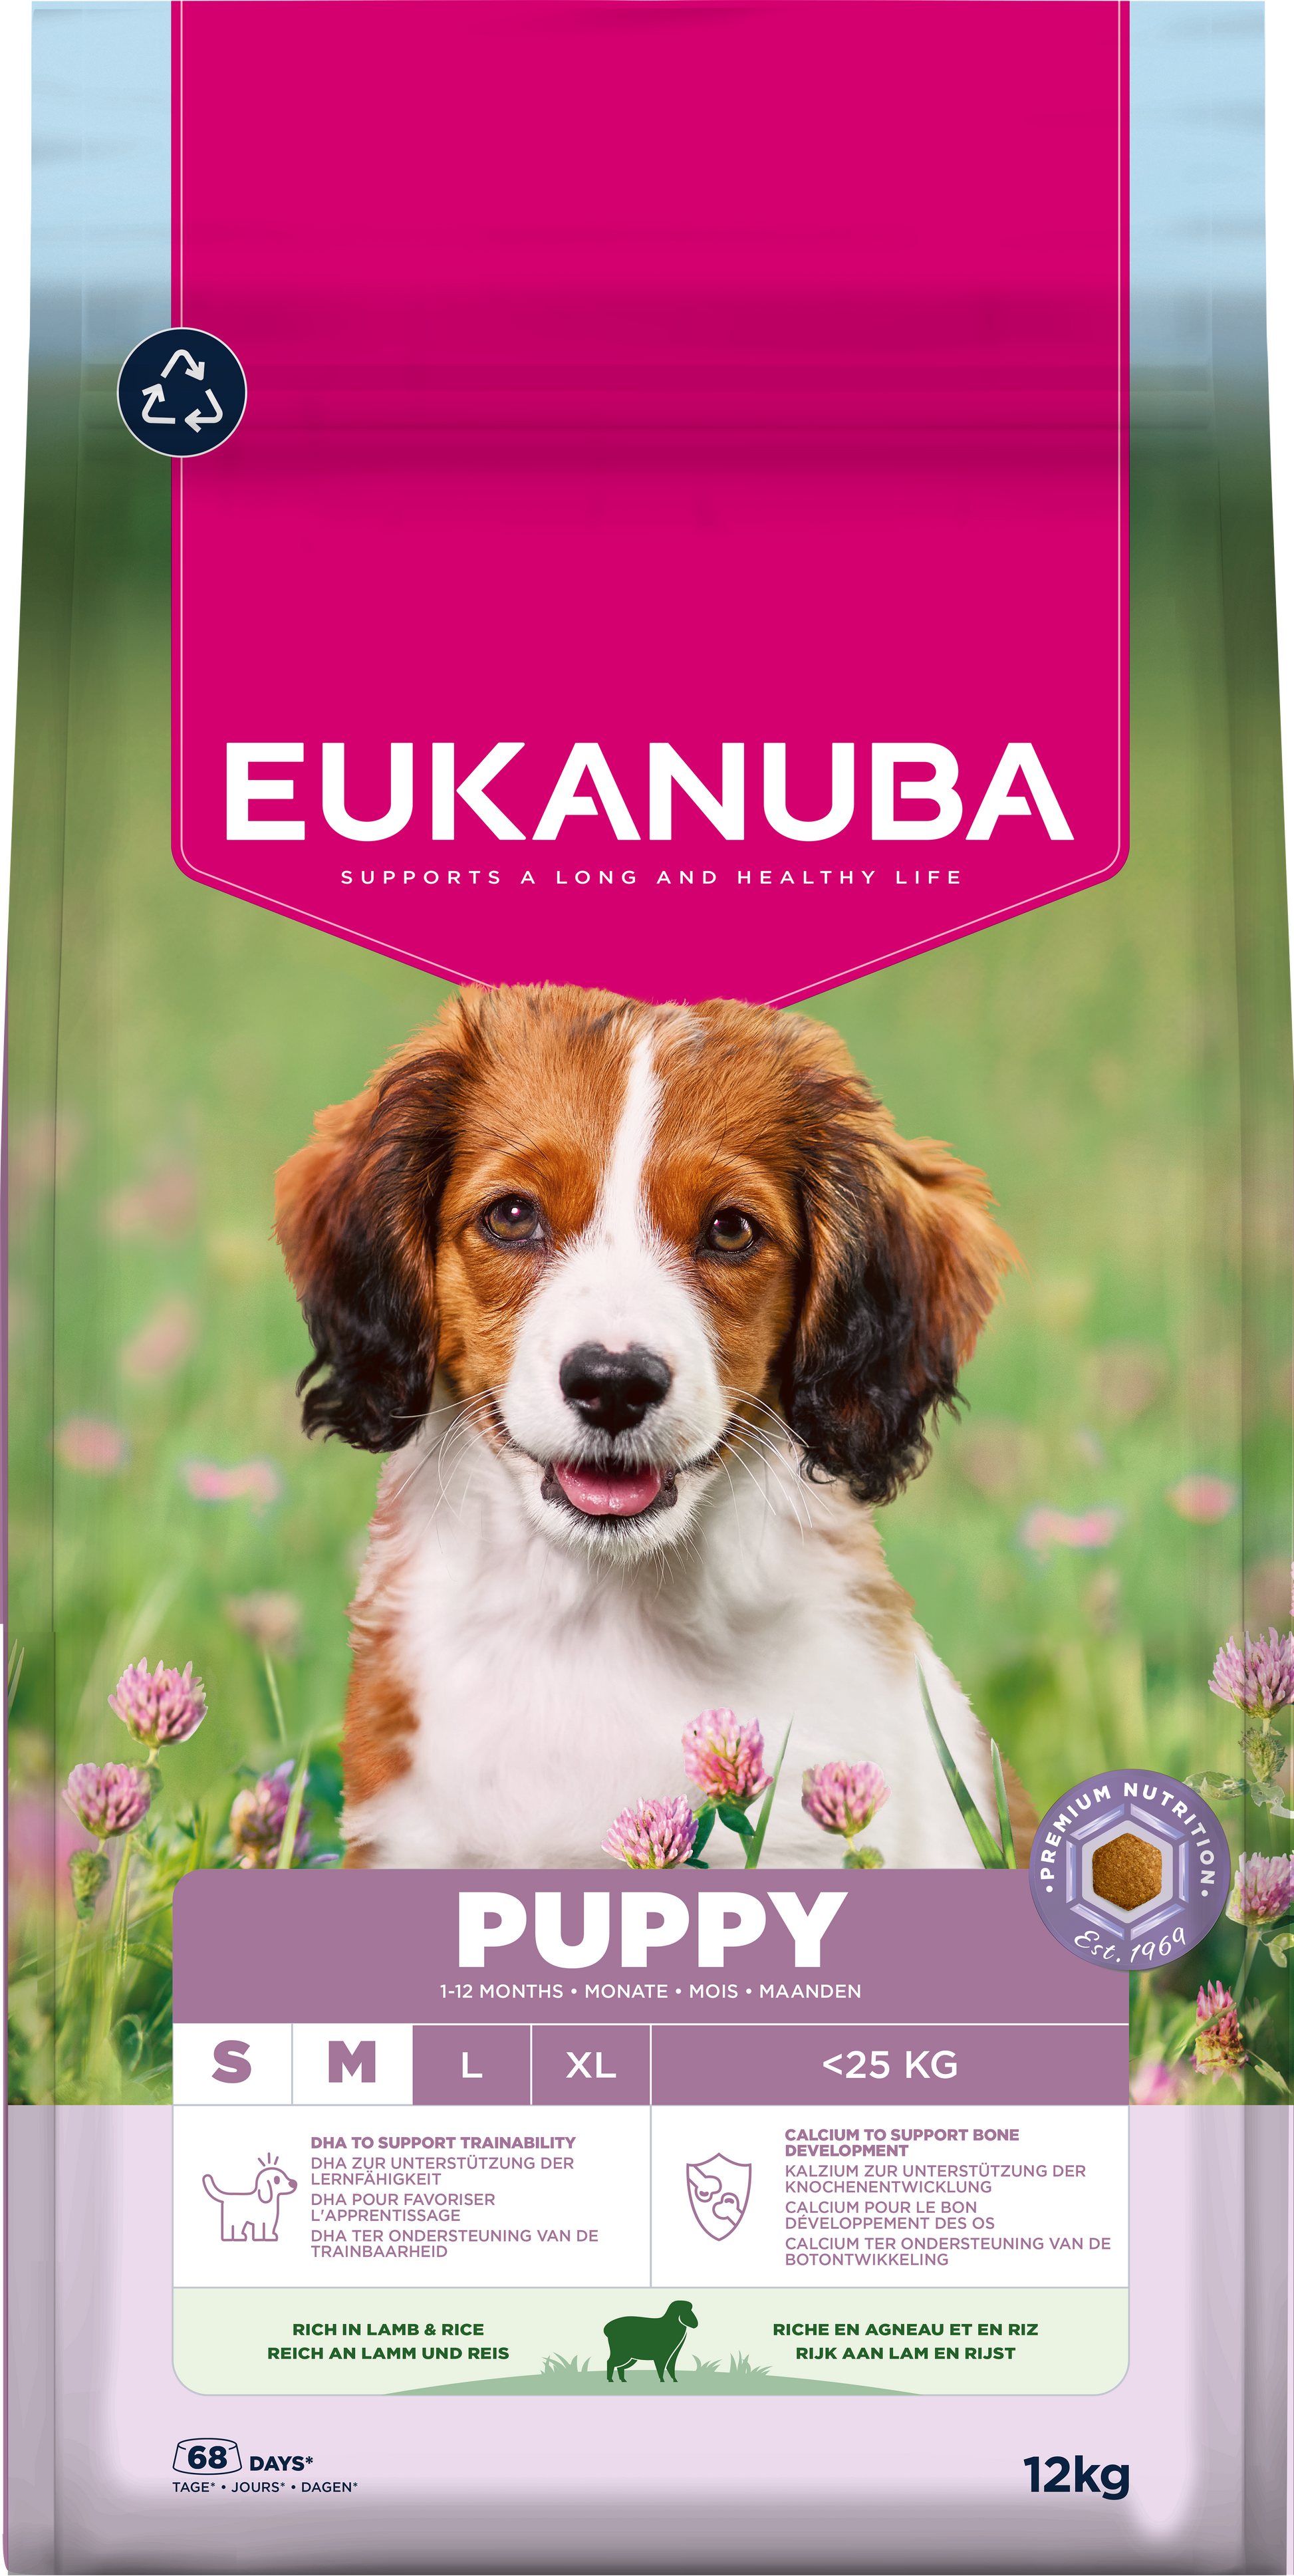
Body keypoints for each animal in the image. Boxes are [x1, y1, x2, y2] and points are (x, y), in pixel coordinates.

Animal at [603, 2300, 699, 2384]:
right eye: (686, 2312)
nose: (696, 2324)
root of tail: (607, 2329)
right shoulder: (662, 2355)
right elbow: (661, 2368)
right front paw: (662, 2381)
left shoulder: (673, 2354)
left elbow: (671, 2367)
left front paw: (674, 2380)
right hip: (621, 2353)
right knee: (610, 2362)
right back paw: (610, 2380)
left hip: (630, 2357)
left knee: (620, 2367)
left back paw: (623, 2380)